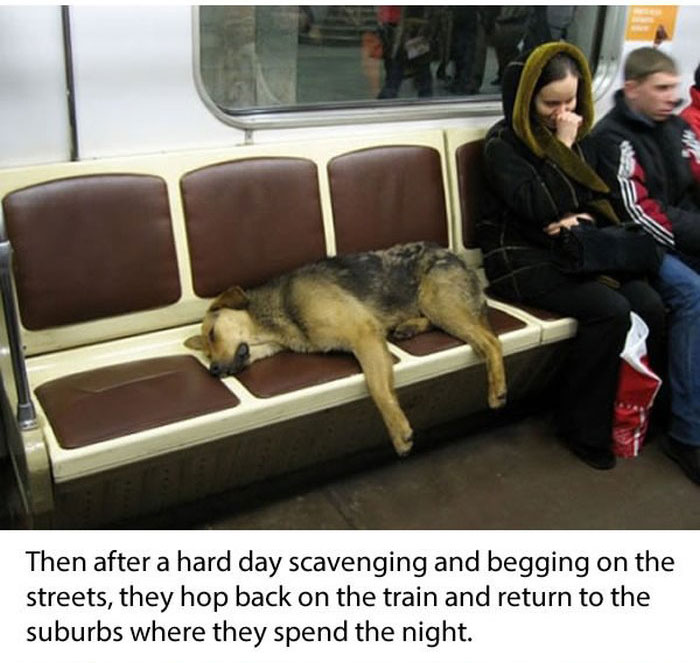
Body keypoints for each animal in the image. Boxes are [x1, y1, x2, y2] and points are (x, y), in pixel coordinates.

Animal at [185, 243, 504, 456]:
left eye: (212, 334)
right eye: (207, 354)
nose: (213, 370)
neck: (279, 313)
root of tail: (457, 257)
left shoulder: (363, 334)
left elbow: (378, 388)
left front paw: (398, 431)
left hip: (439, 302)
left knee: (491, 341)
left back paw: (497, 388)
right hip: (433, 306)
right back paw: (408, 326)